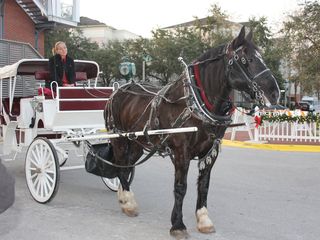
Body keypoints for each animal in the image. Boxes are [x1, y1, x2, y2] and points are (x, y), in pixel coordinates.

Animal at [104, 26, 278, 238]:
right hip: (119, 139)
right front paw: (178, 224)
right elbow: (181, 187)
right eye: (247, 59)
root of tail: (118, 90)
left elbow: (204, 185)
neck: (196, 104)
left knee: (127, 166)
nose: (275, 93)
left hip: (136, 143)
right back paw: (128, 202)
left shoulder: (211, 150)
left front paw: (203, 220)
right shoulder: (181, 151)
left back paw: (123, 196)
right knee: (121, 167)